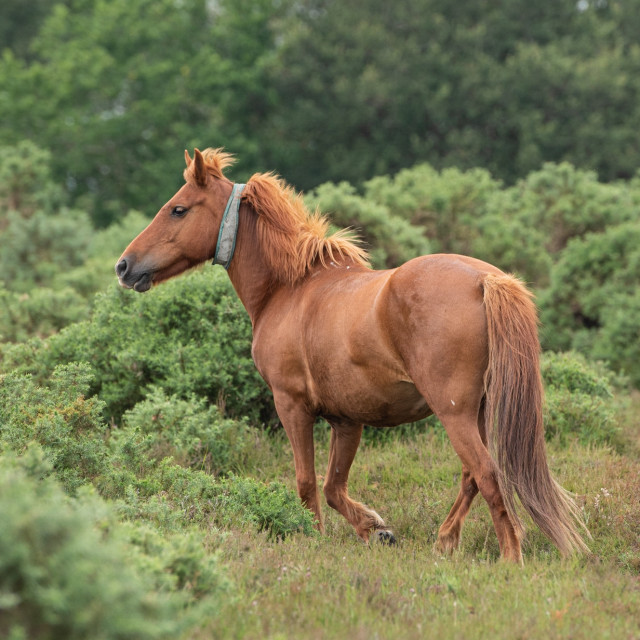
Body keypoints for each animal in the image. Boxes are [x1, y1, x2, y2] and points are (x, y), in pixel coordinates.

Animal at [116, 148, 592, 564]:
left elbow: (307, 482)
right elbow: (333, 487)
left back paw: (511, 557)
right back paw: (445, 541)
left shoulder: (292, 406)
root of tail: (486, 281)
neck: (290, 288)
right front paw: (376, 530)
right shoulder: (347, 420)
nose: (124, 266)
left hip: (454, 412)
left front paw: (313, 537)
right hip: (477, 410)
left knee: (487, 475)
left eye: (178, 209)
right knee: (471, 476)